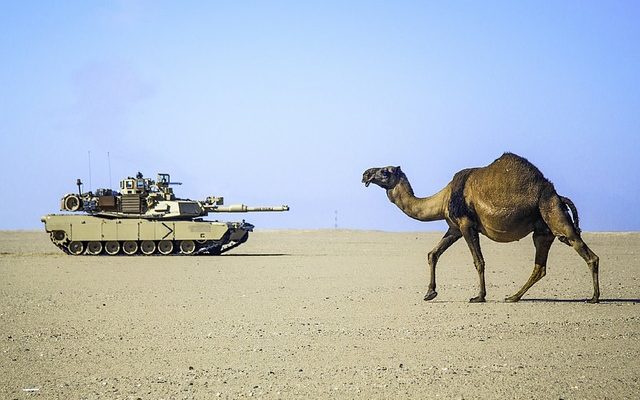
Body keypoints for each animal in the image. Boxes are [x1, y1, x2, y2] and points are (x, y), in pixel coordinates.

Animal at [364, 153, 600, 304]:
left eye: (385, 171)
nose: (365, 173)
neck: (444, 198)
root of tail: (558, 195)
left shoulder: (467, 225)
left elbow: (479, 261)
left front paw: (479, 296)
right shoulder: (454, 228)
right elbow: (433, 254)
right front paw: (430, 293)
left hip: (553, 213)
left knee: (585, 251)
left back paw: (594, 297)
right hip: (543, 229)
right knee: (540, 266)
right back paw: (513, 297)